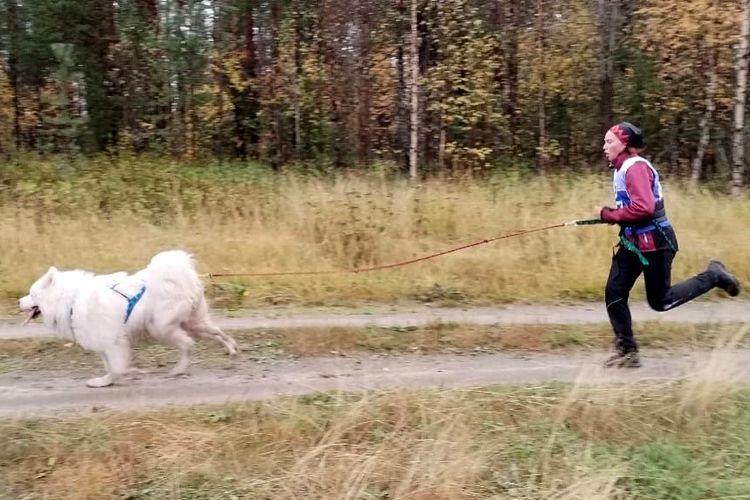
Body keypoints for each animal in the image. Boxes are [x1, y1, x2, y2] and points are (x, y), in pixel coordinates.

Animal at [18, 250, 238, 386]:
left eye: (31, 294)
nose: (18, 301)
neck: (70, 300)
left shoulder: (113, 341)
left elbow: (116, 366)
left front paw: (107, 380)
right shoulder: (104, 342)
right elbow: (111, 365)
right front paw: (113, 377)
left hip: (160, 327)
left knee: (188, 344)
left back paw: (179, 369)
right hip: (193, 322)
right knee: (217, 333)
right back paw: (232, 349)